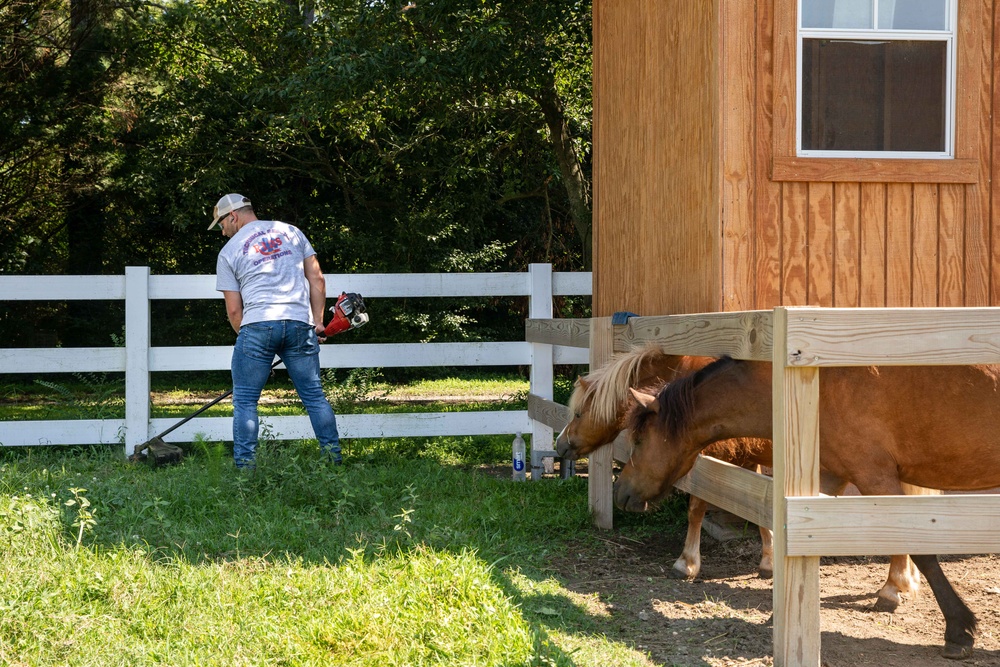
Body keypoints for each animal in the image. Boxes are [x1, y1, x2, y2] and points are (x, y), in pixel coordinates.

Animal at [556, 348, 920, 612]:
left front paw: (687, 563)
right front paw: (768, 559)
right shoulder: (747, 461)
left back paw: (896, 584)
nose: (560, 444)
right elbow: (758, 512)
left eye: (579, 413)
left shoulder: (714, 460)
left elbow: (697, 508)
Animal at [616, 358, 1000, 660]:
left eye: (639, 439)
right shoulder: (829, 478)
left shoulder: (875, 476)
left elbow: (922, 550)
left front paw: (958, 630)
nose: (621, 492)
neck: (815, 385)